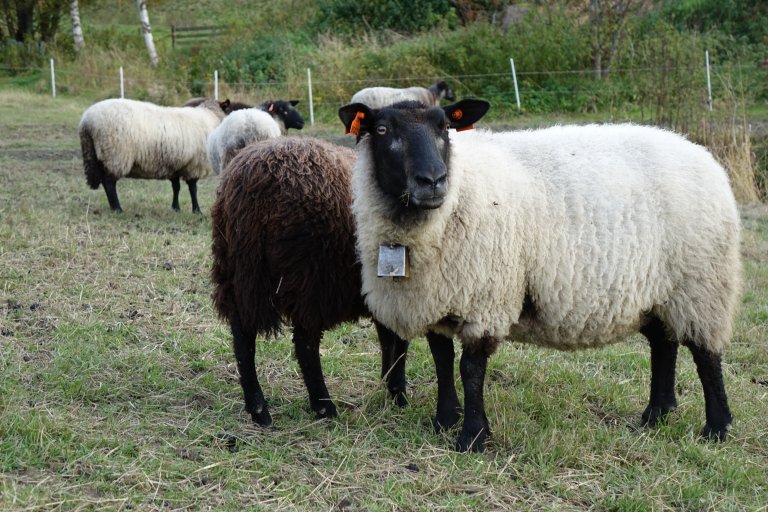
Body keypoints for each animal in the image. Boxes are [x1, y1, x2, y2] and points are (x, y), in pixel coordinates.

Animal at [80, 98, 225, 212]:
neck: (210, 117)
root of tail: (87, 122)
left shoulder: (175, 166)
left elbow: (176, 188)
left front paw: (175, 208)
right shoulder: (195, 165)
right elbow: (193, 189)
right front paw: (197, 210)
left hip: (98, 155)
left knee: (106, 182)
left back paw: (113, 207)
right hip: (115, 154)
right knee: (109, 183)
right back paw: (117, 208)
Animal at [340, 100, 740, 452]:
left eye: (444, 128)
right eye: (381, 130)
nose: (433, 181)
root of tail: (701, 154)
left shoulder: (486, 297)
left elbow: (470, 369)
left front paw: (472, 437)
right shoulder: (438, 297)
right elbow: (442, 360)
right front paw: (444, 419)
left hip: (701, 283)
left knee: (706, 355)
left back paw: (716, 428)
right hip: (658, 290)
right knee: (663, 344)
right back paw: (656, 414)